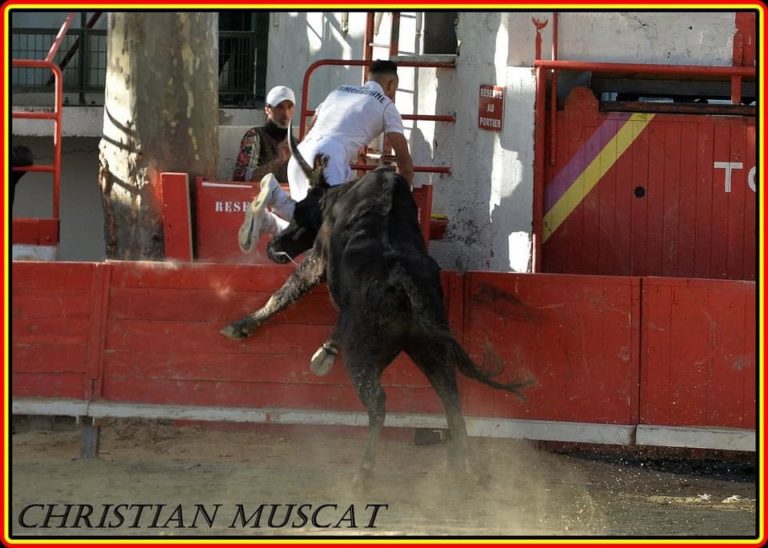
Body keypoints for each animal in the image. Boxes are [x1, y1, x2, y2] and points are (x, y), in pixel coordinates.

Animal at [220, 152, 528, 486]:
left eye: (301, 211)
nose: (274, 246)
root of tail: (404, 281)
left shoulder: (318, 258)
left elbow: (286, 291)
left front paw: (241, 326)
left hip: (362, 355)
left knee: (378, 401)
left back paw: (363, 474)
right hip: (432, 348)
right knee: (451, 399)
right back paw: (463, 471)